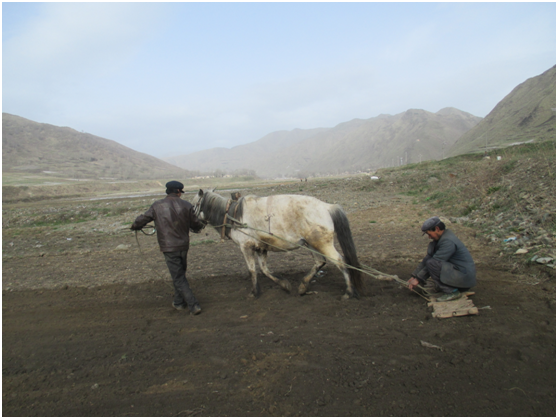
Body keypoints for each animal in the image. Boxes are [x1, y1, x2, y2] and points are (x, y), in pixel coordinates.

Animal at [192, 190, 368, 298]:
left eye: (194, 205)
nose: (194, 227)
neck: (234, 216)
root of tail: (327, 207)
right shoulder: (261, 248)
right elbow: (264, 270)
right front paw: (284, 285)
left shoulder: (246, 247)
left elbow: (252, 270)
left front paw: (254, 292)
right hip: (311, 244)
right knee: (320, 262)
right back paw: (303, 286)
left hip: (322, 245)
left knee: (341, 262)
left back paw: (349, 292)